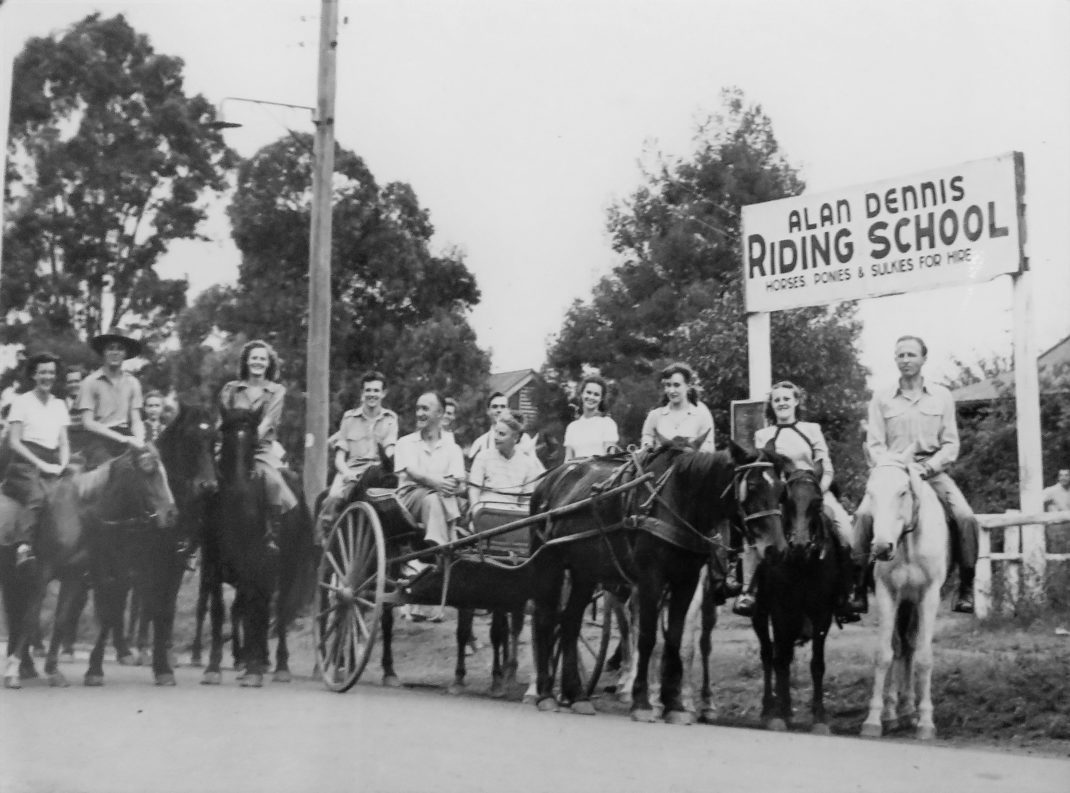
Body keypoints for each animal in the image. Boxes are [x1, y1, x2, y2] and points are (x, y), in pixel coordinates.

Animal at [0, 445, 179, 684]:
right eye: (148, 470)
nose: (171, 513)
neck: (80, 514)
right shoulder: (43, 573)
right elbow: (30, 618)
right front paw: (12, 671)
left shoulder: (75, 576)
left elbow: (62, 619)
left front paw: (53, 670)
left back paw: (27, 667)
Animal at [201, 408, 316, 684]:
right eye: (225, 435)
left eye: (253, 439)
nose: (240, 482)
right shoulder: (213, 565)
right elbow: (220, 611)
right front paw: (213, 667)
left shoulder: (252, 565)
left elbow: (252, 611)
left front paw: (252, 669)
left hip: (286, 569)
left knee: (279, 609)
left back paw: (279, 666)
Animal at [528, 443, 787, 719]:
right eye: (753, 486)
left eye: (781, 491)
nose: (776, 548)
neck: (680, 500)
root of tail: (552, 477)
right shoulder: (650, 579)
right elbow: (647, 637)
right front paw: (642, 701)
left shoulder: (686, 581)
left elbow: (674, 638)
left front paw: (673, 704)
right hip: (548, 564)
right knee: (545, 620)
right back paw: (544, 693)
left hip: (584, 571)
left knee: (569, 622)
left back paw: (575, 694)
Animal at [753, 453, 851, 732]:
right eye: (785, 499)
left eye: (817, 502)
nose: (798, 544)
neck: (802, 564)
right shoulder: (780, 610)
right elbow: (780, 659)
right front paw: (779, 715)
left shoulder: (822, 613)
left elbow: (817, 664)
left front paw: (819, 717)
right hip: (759, 613)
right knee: (769, 654)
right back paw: (769, 708)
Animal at [856, 449, 950, 740]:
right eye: (870, 492)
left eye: (902, 492)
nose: (882, 547)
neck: (907, 543)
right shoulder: (887, 594)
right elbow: (884, 654)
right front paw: (873, 719)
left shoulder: (929, 596)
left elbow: (924, 658)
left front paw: (927, 722)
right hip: (904, 603)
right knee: (900, 648)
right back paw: (893, 713)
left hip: (913, 603)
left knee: (909, 647)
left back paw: (910, 711)